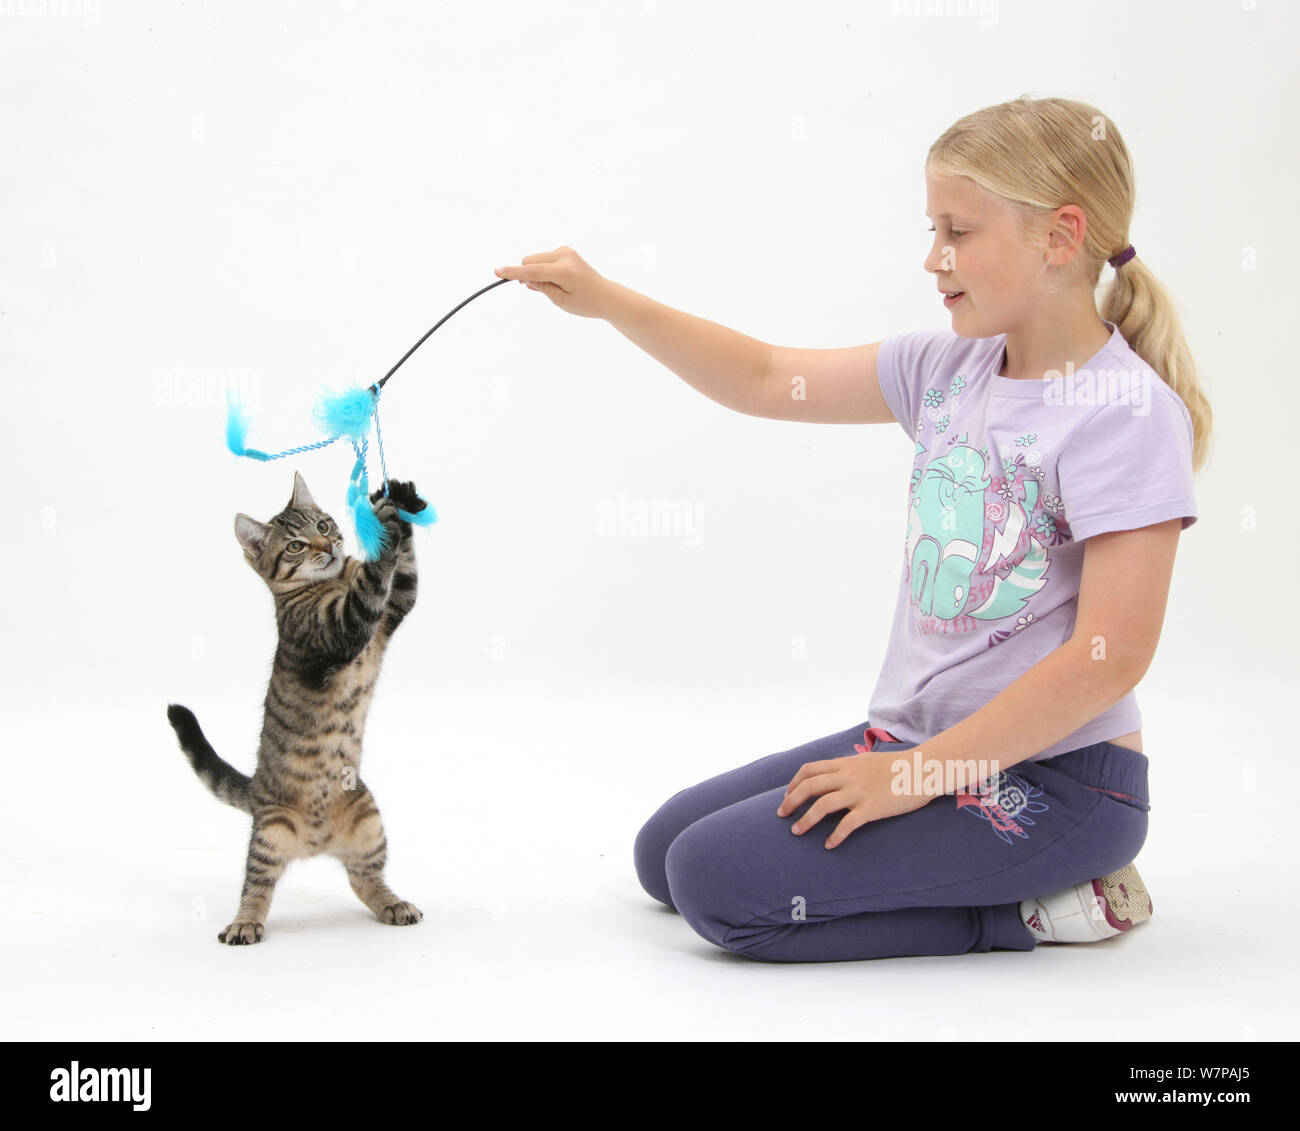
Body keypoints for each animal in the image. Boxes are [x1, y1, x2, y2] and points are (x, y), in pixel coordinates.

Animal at [167, 470, 426, 946]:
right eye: (294, 547)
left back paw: (392, 903)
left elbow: (404, 577)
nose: (328, 546)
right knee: (256, 886)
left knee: (365, 878)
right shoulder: (340, 628)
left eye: (322, 526)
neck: (333, 581)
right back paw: (244, 923)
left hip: (369, 821)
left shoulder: (393, 609)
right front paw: (383, 532)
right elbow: (371, 582)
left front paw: (397, 499)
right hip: (269, 834)